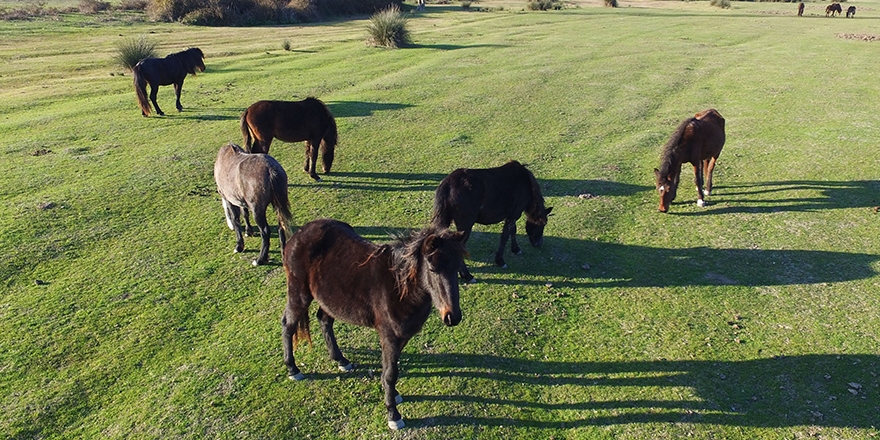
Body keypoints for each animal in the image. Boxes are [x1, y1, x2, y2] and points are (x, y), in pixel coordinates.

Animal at [282, 219, 468, 430]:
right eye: (432, 270)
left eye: (457, 268)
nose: (452, 317)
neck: (400, 288)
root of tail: (297, 234)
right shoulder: (389, 337)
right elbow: (391, 373)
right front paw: (393, 415)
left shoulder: (399, 338)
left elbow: (388, 368)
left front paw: (392, 395)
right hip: (299, 294)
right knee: (288, 324)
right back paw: (293, 369)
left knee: (324, 320)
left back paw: (341, 360)